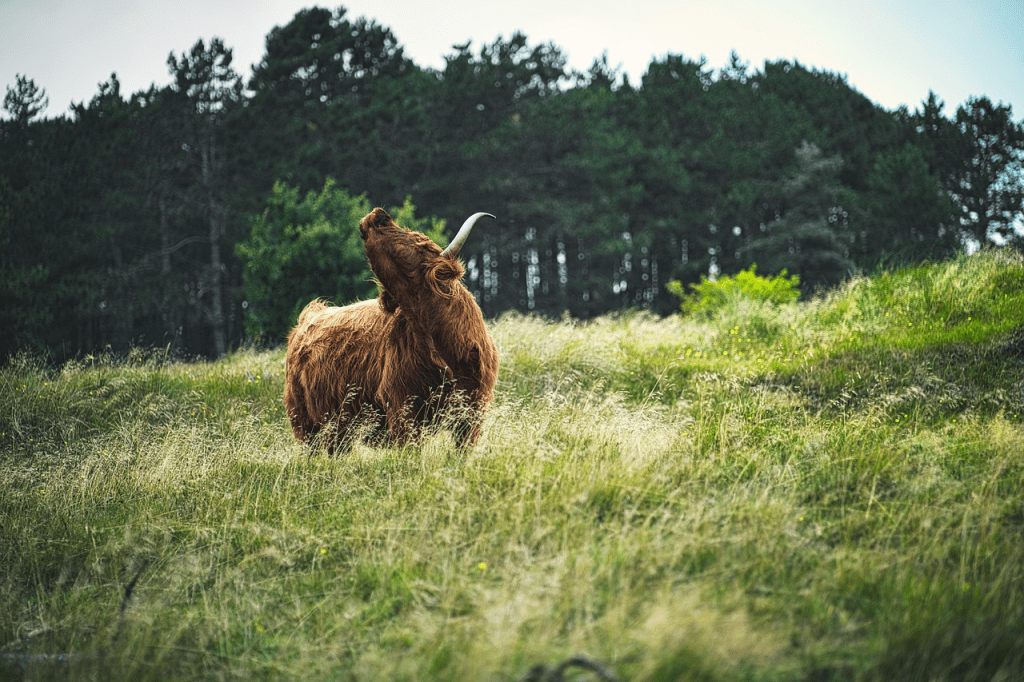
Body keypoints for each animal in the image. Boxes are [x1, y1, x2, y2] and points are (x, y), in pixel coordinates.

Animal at [284, 207, 499, 452]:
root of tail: (309, 315)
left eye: (415, 239)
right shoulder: (401, 406)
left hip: (338, 430)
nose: (378, 215)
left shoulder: (473, 409)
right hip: (304, 422)